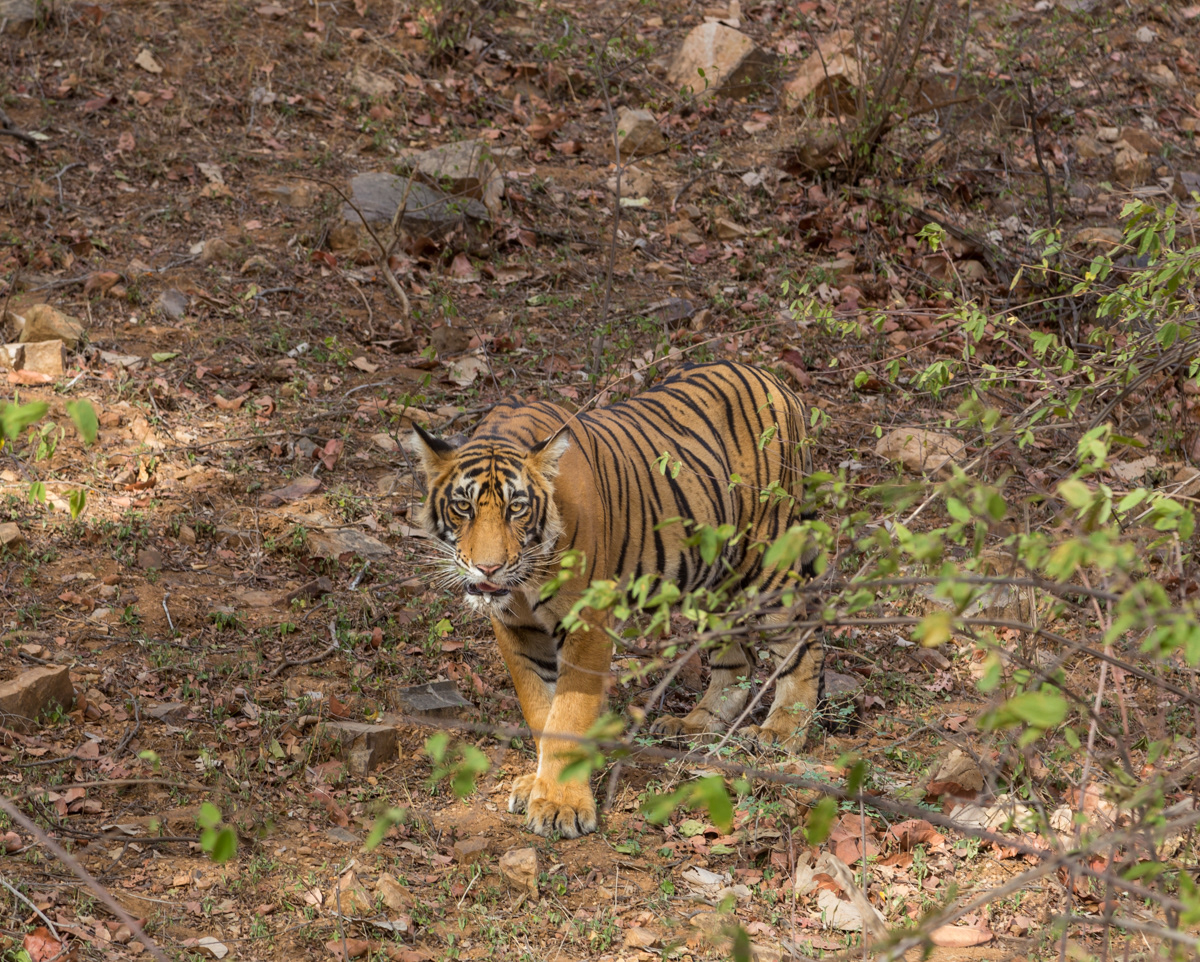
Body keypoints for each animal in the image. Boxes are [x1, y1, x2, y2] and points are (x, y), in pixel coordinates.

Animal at [409, 360, 823, 838]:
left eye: (517, 508)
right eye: (464, 507)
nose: (489, 569)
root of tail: (777, 382)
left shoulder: (587, 621)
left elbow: (568, 713)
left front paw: (561, 805)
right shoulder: (517, 628)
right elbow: (540, 709)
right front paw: (538, 785)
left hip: (764, 562)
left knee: (804, 638)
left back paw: (783, 731)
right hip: (711, 575)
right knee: (738, 659)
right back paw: (694, 724)